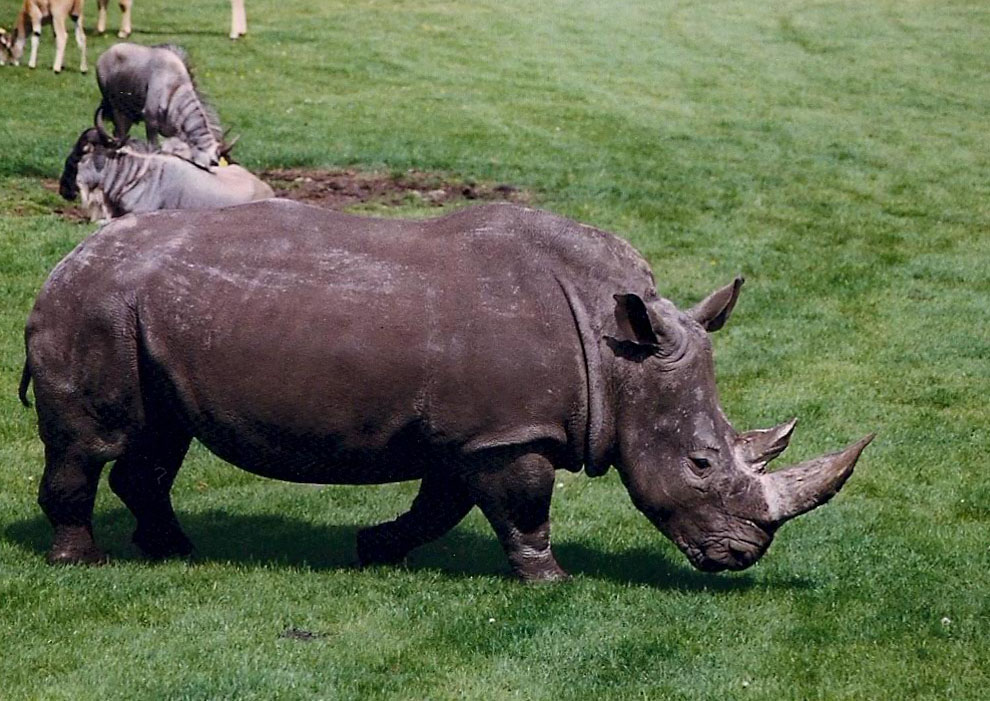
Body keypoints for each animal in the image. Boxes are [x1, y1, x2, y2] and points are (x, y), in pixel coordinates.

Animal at [20, 200, 872, 581]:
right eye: (701, 463)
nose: (740, 557)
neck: (619, 354)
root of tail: (63, 258)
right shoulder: (508, 431)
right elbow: (524, 505)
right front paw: (548, 580)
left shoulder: (474, 429)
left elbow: (441, 504)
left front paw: (373, 548)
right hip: (95, 307)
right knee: (92, 441)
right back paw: (81, 562)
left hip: (143, 316)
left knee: (159, 437)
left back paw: (173, 549)